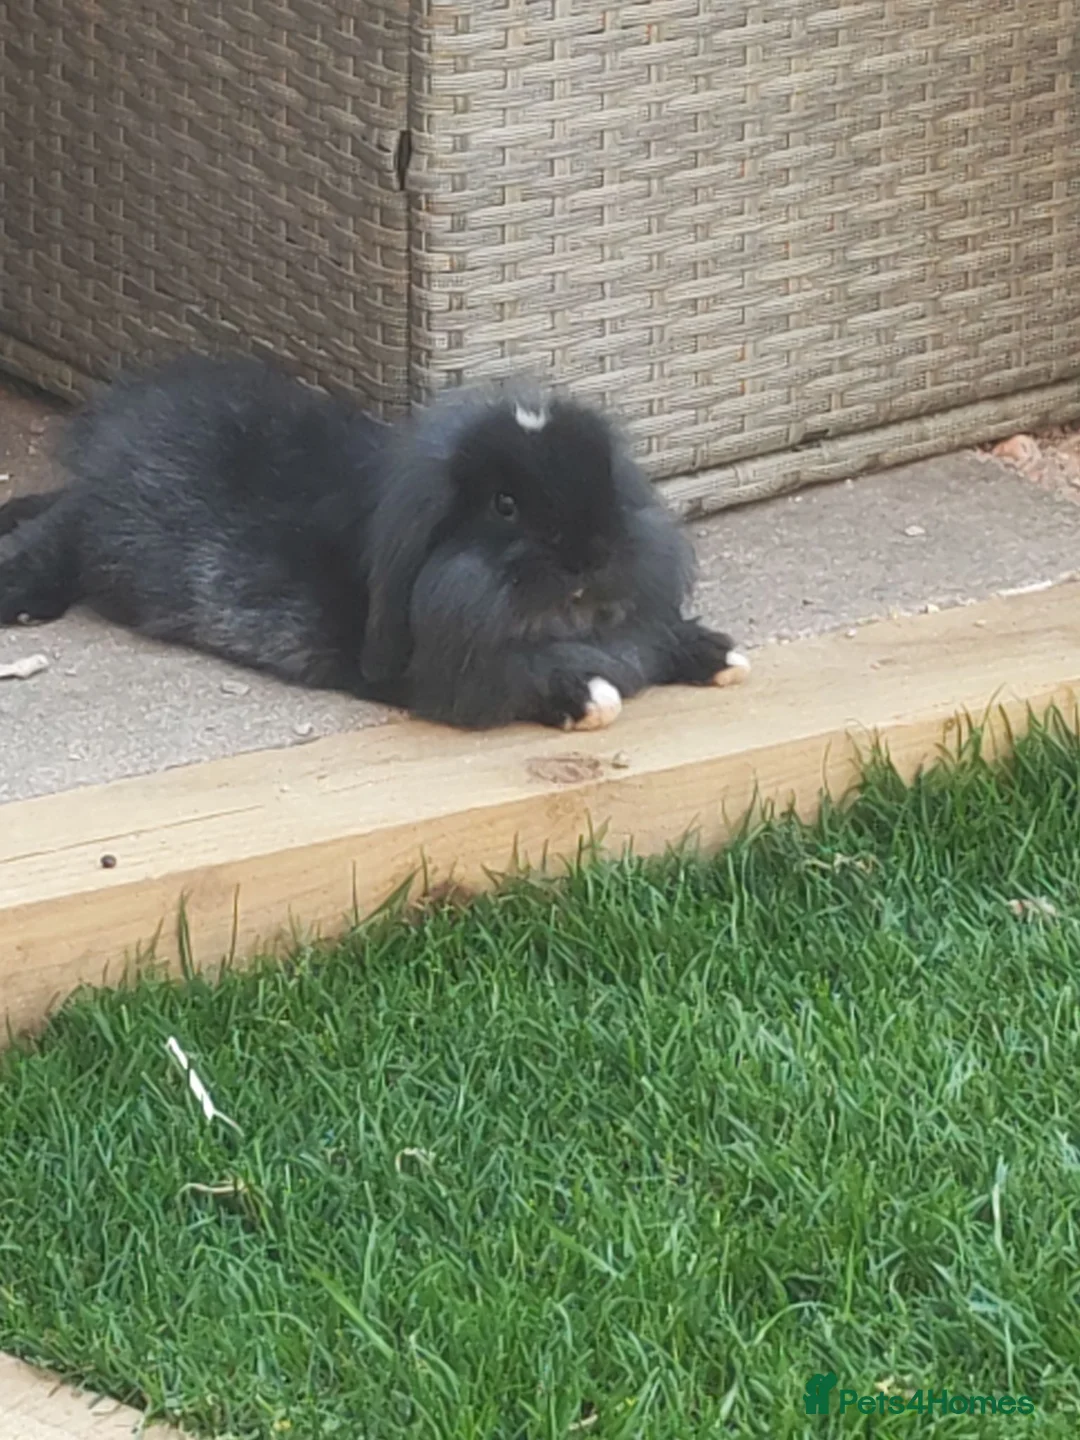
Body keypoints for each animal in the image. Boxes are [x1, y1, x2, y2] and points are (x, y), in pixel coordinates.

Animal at [0, 353, 750, 731]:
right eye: (505, 505)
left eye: (606, 479)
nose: (590, 558)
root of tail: (110, 435)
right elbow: (528, 678)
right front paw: (590, 697)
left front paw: (722, 654)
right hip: (101, 537)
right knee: (57, 537)